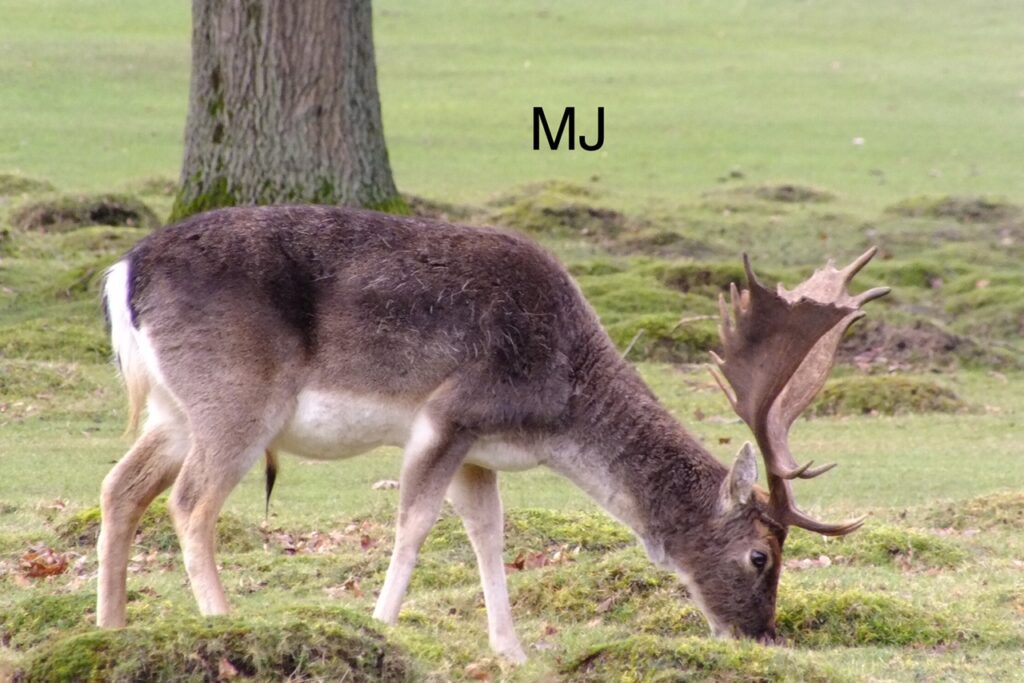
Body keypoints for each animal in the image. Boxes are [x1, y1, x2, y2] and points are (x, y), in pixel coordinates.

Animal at [96, 204, 888, 662]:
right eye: (760, 555)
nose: (764, 635)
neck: (557, 407)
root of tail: (122, 274)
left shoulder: (480, 452)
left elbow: (487, 532)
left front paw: (512, 651)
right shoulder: (451, 411)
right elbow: (414, 523)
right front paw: (383, 626)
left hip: (174, 410)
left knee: (118, 487)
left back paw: (110, 628)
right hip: (235, 397)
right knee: (190, 503)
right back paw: (223, 624)